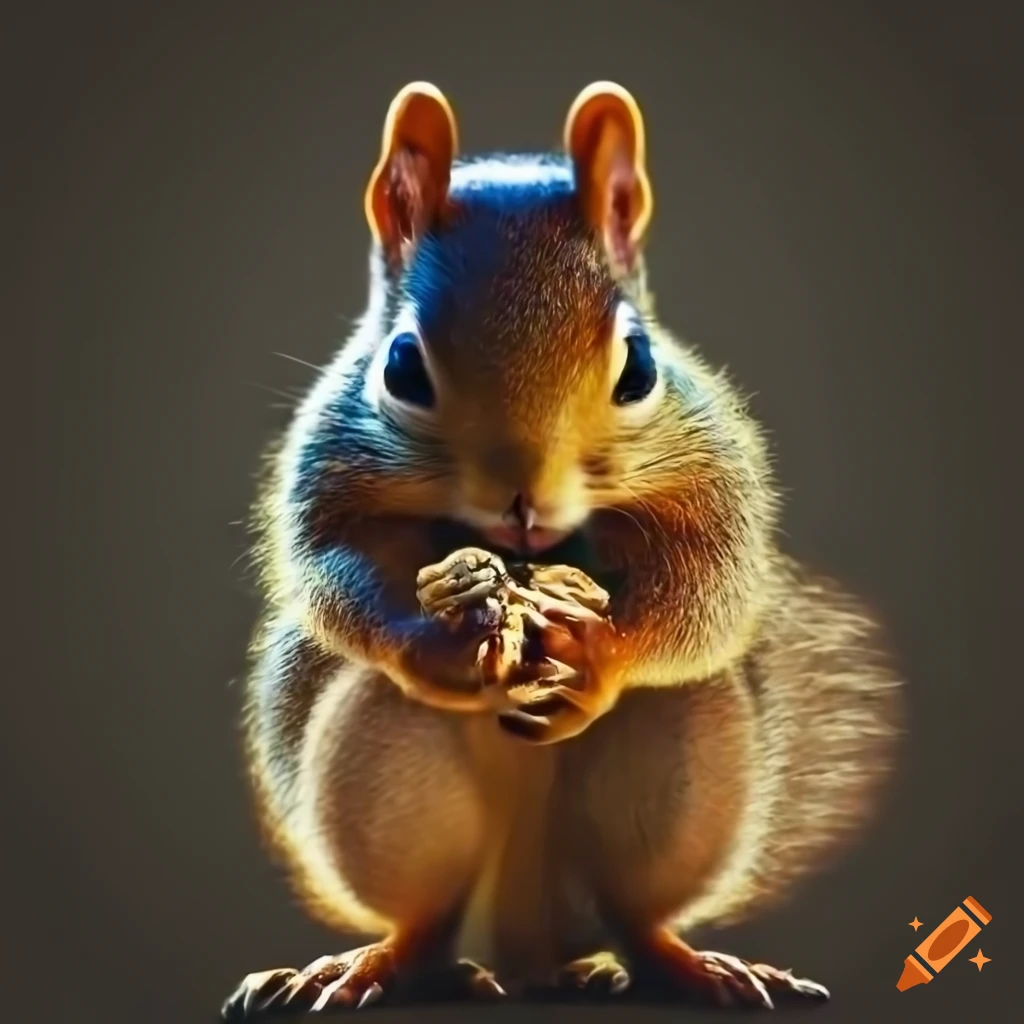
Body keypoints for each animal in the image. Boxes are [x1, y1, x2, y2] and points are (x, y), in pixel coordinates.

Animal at [222, 81, 902, 1018]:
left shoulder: (714, 467)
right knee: (427, 919)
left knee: (635, 910)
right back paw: (381, 966)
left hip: (681, 764)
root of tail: (528, 936)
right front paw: (440, 641)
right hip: (391, 777)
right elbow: (330, 567)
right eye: (401, 367)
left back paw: (688, 965)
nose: (523, 501)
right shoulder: (323, 465)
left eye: (640, 366)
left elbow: (715, 581)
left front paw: (599, 653)